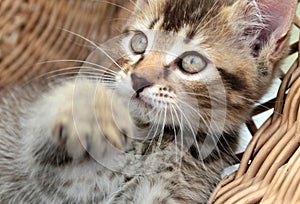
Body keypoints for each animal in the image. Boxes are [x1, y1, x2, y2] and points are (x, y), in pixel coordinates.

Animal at [0, 0, 296, 203]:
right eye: (139, 42)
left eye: (191, 62)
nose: (138, 79)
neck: (154, 139)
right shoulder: (39, 167)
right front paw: (95, 112)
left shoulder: (171, 193)